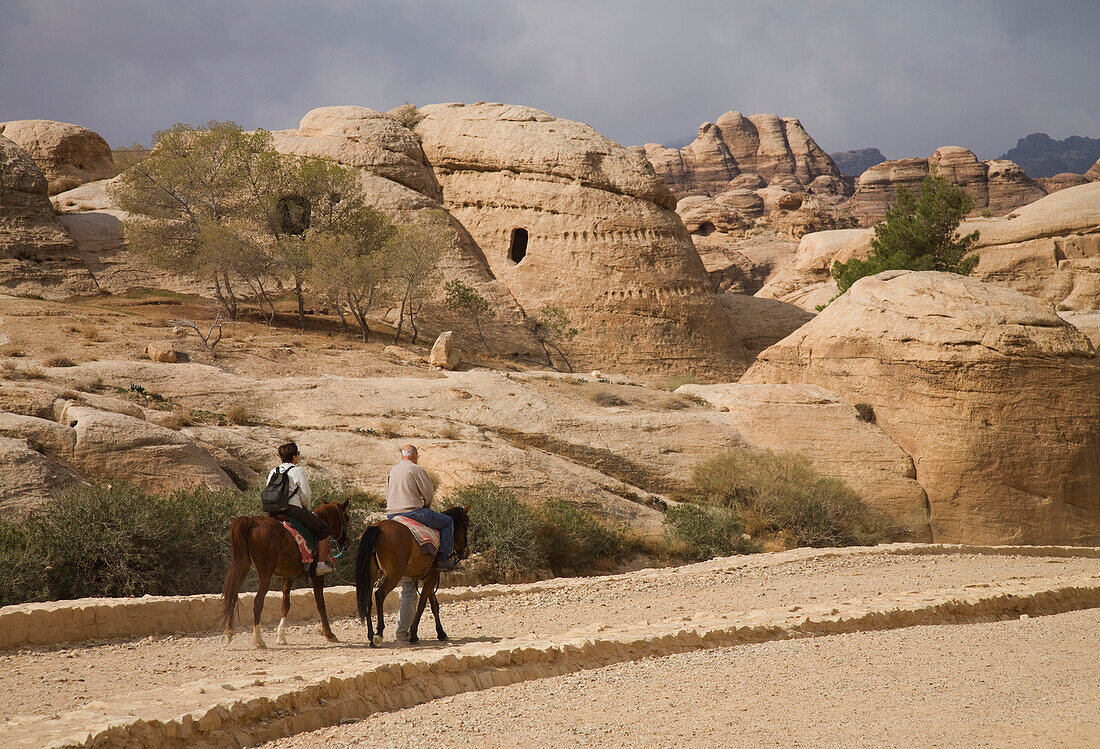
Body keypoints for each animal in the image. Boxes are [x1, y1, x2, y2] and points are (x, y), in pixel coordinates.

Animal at [218, 497, 347, 646]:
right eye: (346, 517)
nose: (346, 541)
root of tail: (251, 521)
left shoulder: (288, 577)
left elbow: (285, 604)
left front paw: (281, 637)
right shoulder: (317, 576)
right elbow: (321, 604)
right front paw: (329, 634)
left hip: (242, 565)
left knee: (232, 595)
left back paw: (228, 633)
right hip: (265, 573)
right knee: (257, 602)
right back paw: (258, 640)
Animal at [354, 505, 470, 646]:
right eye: (466, 524)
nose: (466, 551)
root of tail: (377, 528)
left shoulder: (430, 578)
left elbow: (434, 605)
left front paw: (441, 633)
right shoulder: (432, 577)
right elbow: (422, 604)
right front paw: (414, 634)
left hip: (371, 575)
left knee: (368, 601)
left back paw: (371, 636)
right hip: (393, 576)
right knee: (379, 595)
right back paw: (379, 633)